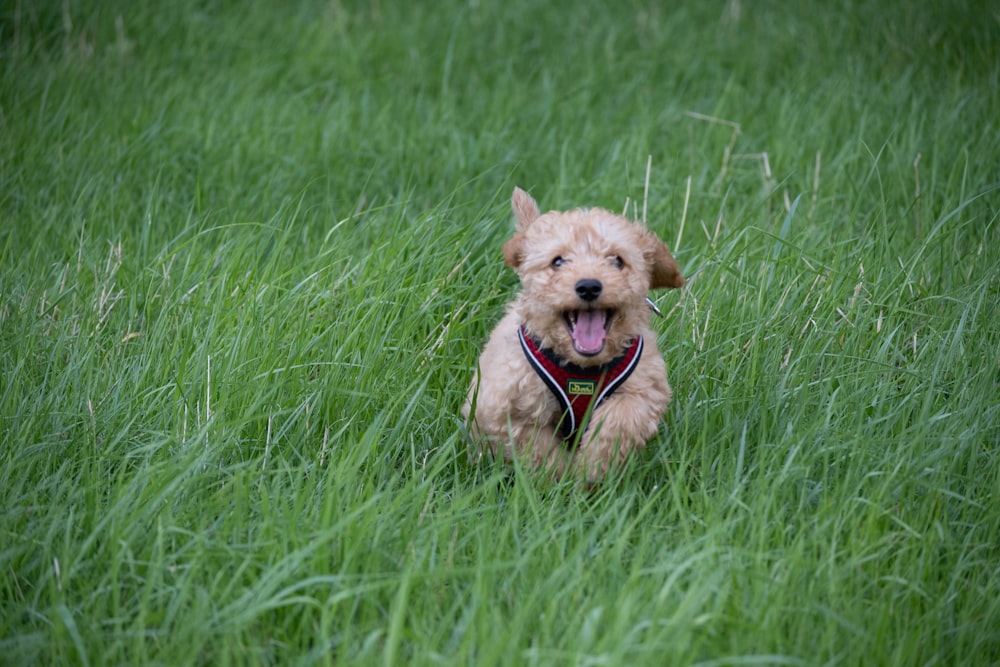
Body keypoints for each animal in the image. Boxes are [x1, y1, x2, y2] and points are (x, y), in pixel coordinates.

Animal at [462, 188, 684, 480]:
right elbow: (538, 449)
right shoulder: (506, 406)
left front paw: (592, 469)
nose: (589, 286)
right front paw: (562, 478)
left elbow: (620, 421)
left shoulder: (643, 388)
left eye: (617, 260)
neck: (582, 368)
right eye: (557, 261)